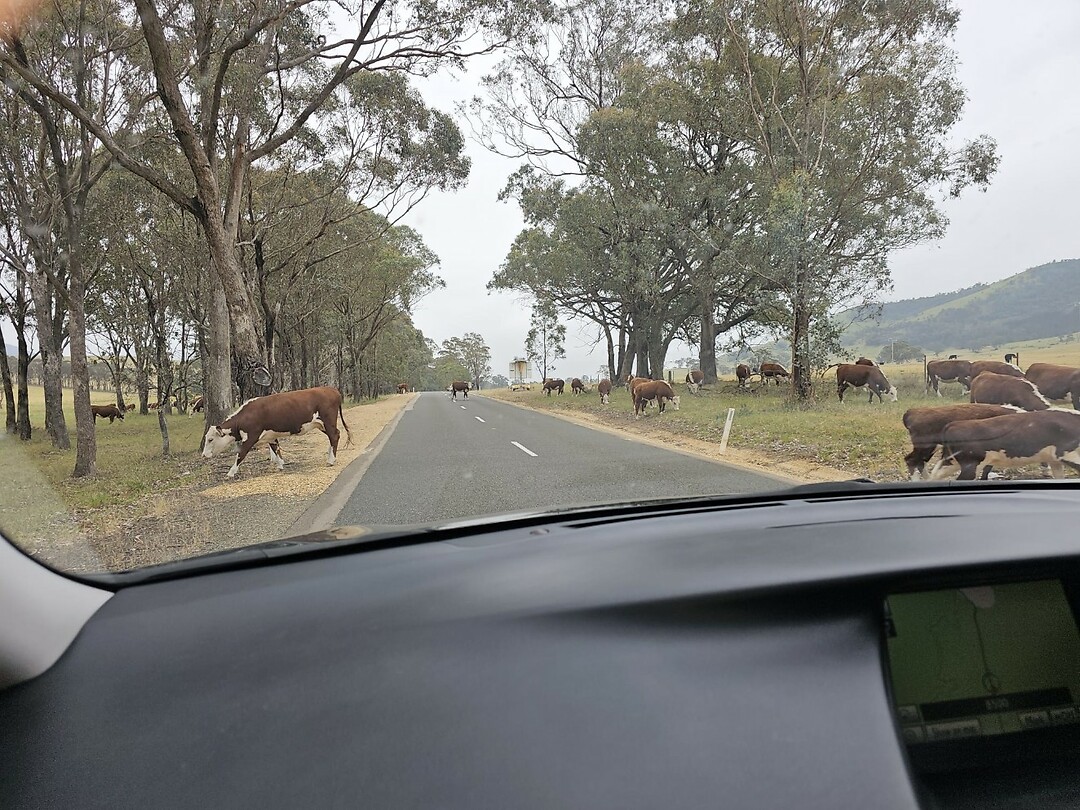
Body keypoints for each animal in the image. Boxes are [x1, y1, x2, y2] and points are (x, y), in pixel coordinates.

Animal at [202, 386, 351, 479]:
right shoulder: (271, 436)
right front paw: (280, 465)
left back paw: (331, 460)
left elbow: (240, 455)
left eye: (210, 439)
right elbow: (276, 449)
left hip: (328, 421)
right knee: (334, 436)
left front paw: (230, 473)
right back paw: (330, 455)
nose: (203, 455)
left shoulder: (250, 437)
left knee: (334, 436)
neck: (246, 416)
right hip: (322, 425)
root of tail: (331, 389)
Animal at [931, 410, 1080, 481]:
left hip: (952, 461)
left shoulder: (1055, 460)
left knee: (936, 475)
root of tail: (953, 424)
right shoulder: (1067, 454)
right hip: (971, 465)